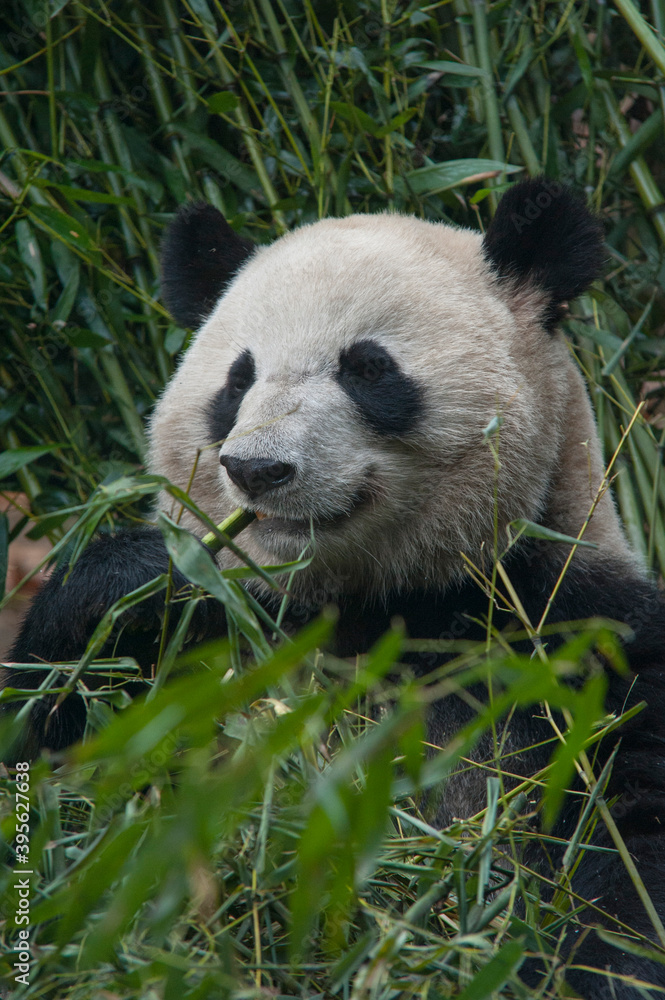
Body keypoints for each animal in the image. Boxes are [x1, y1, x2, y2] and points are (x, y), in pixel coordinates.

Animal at [4, 178, 665, 997]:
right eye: (238, 380)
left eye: (367, 368)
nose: (258, 469)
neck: (364, 602)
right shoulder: (228, 640)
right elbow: (59, 765)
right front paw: (141, 582)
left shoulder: (572, 633)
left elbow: (628, 840)